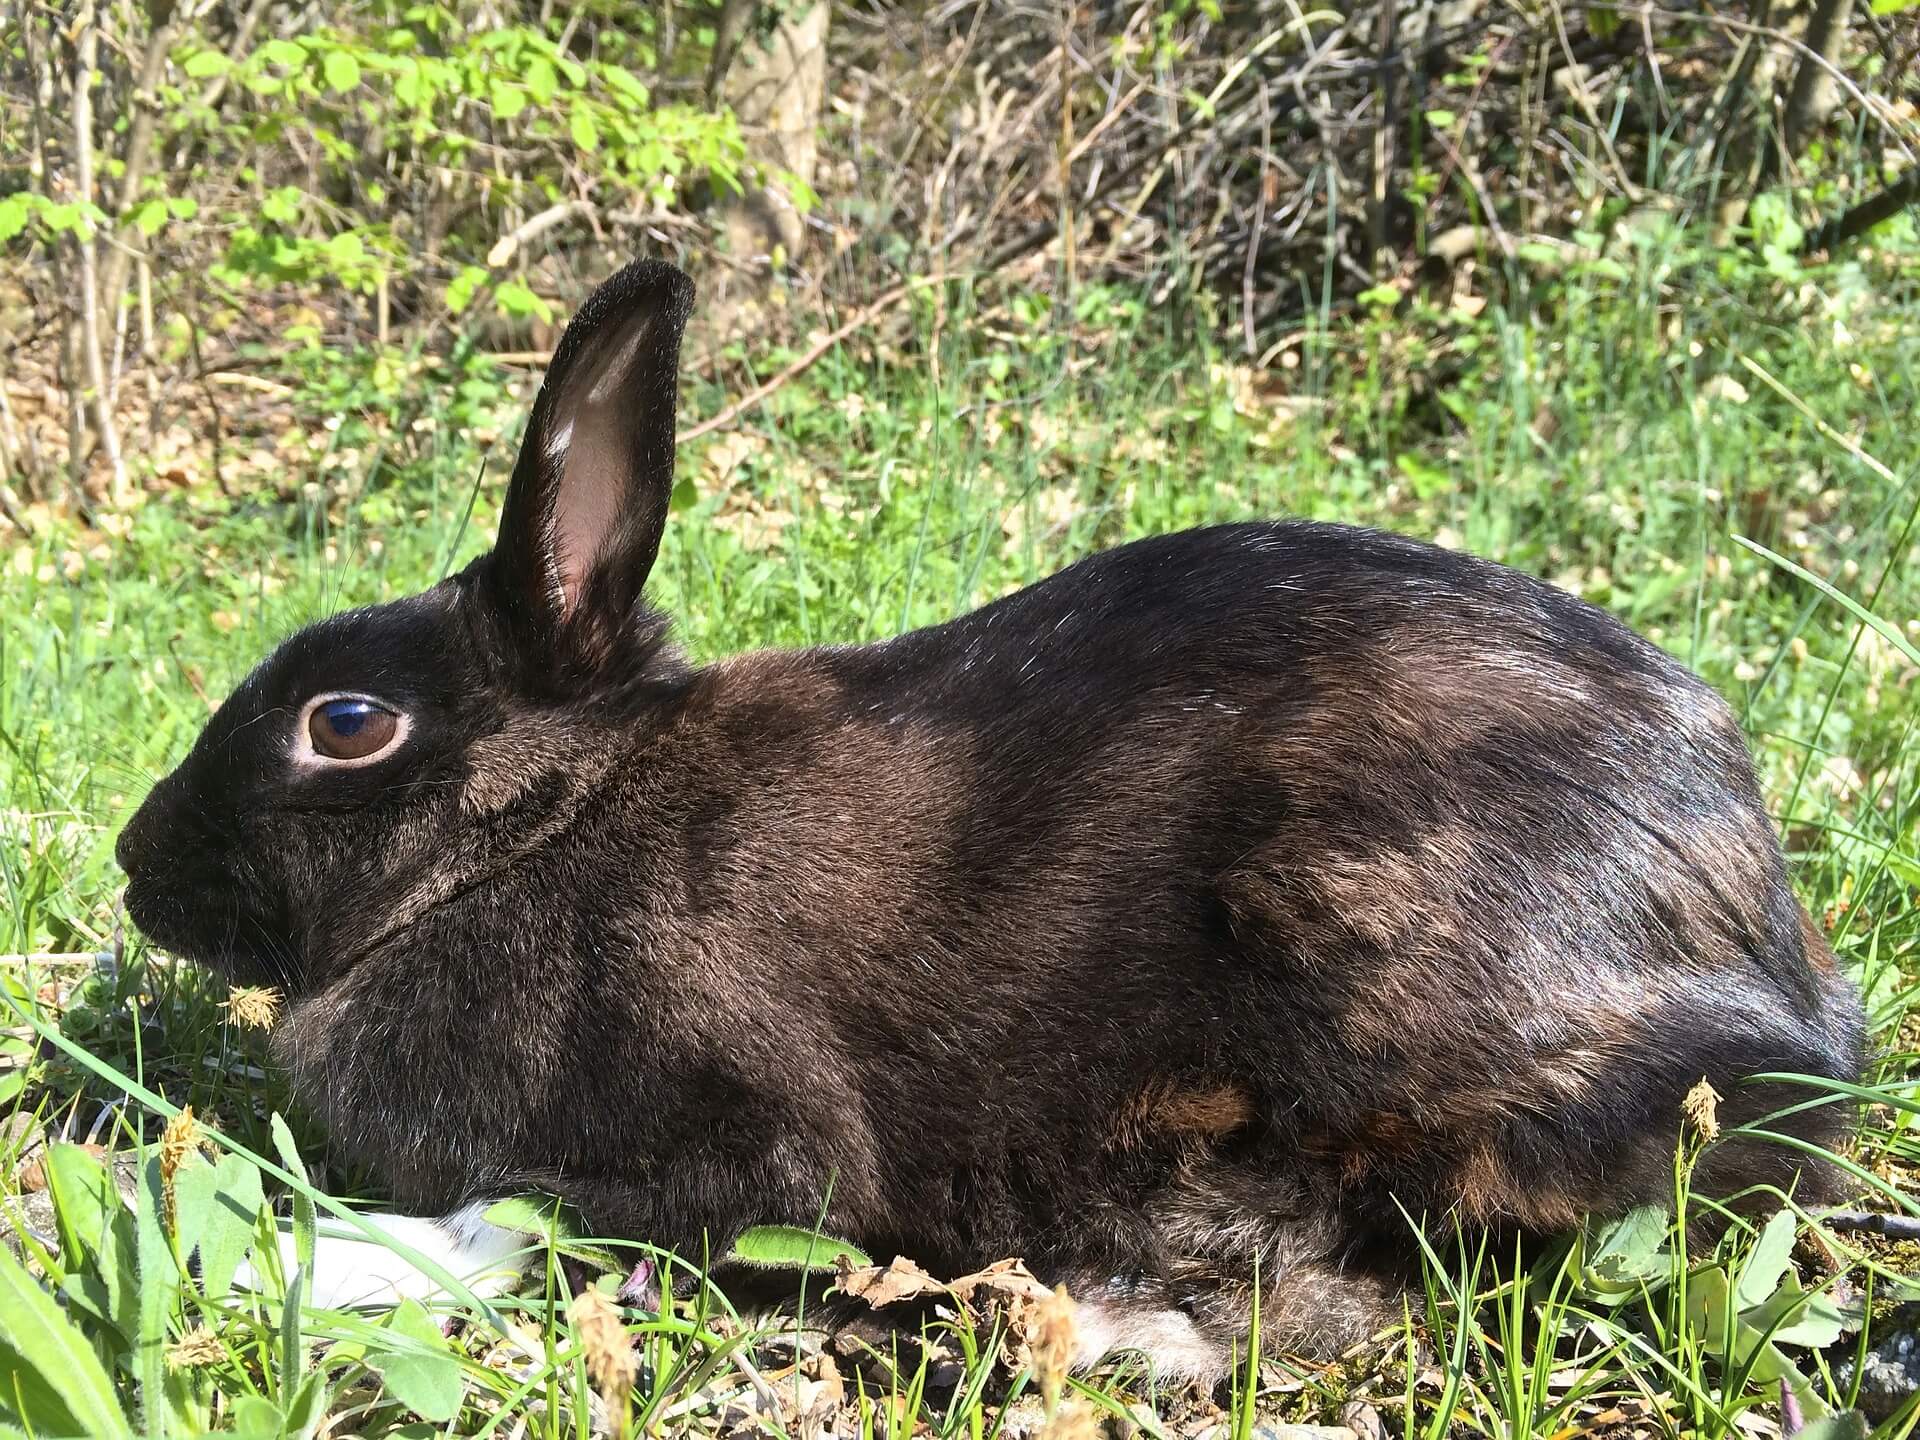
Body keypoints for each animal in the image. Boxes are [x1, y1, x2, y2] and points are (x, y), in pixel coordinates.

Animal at [116, 263, 1858, 1390]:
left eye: (347, 724)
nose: (138, 872)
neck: (548, 825)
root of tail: (1762, 958)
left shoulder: (741, 1138)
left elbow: (516, 1221)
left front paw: (297, 1256)